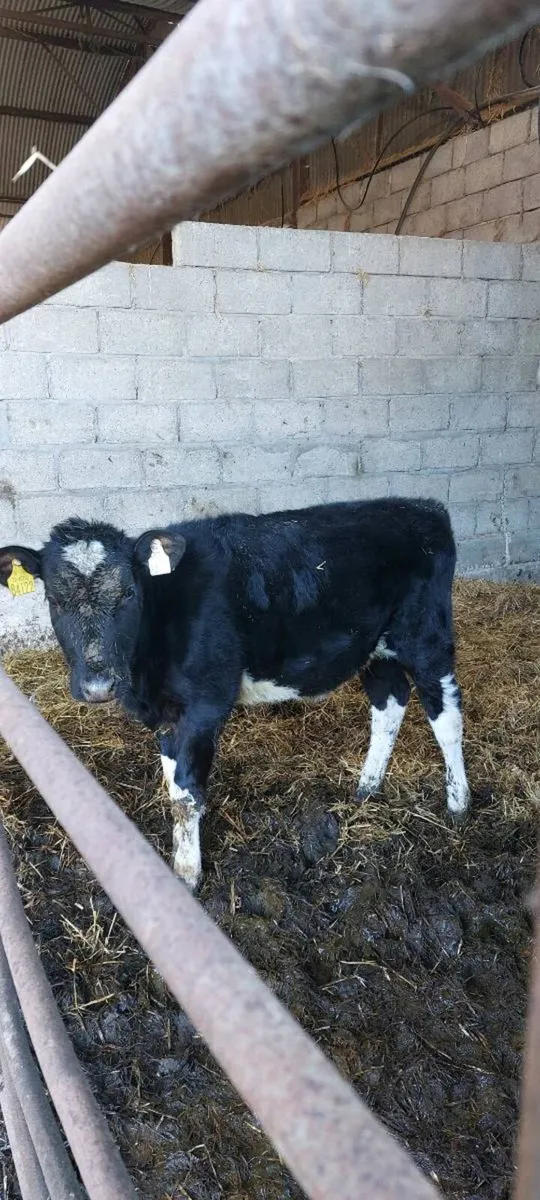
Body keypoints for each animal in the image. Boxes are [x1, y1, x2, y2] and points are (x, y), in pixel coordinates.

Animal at [0, 497, 470, 890]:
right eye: (54, 599)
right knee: (389, 703)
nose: (98, 685)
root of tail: (423, 508)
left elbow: (185, 794)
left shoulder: (206, 704)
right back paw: (367, 788)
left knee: (445, 715)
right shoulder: (169, 714)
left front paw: (187, 874)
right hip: (375, 649)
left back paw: (458, 803)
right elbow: (174, 783)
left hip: (426, 636)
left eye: (129, 593)